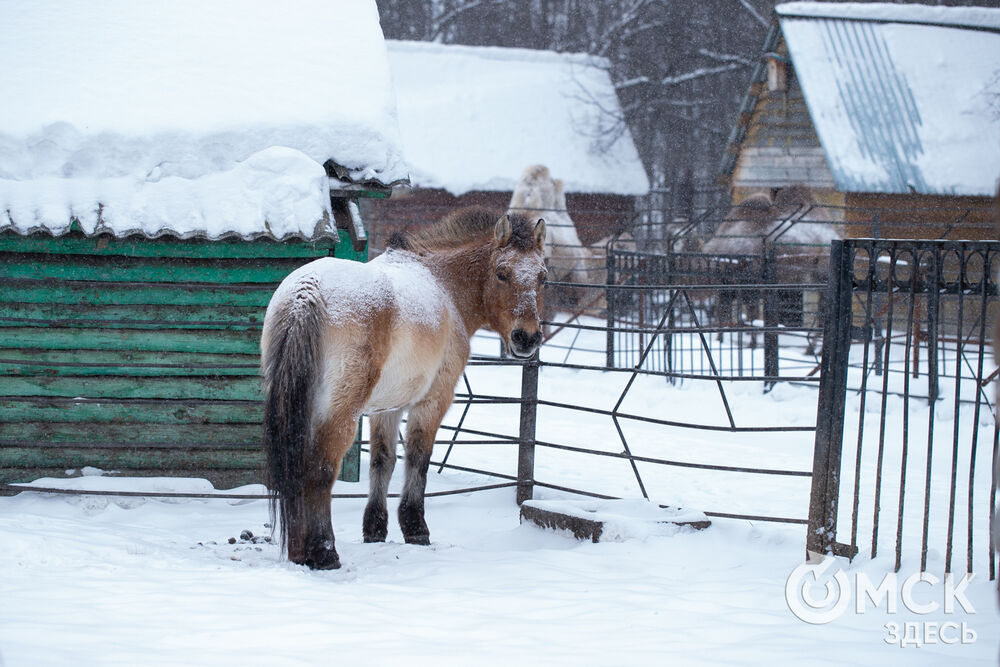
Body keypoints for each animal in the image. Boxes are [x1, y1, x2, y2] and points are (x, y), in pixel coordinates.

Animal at [260, 205, 548, 568]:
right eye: (502, 273)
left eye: (542, 277)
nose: (527, 338)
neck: (443, 283)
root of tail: (305, 293)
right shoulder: (433, 402)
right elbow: (417, 459)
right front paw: (415, 527)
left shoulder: (387, 408)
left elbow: (382, 462)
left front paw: (375, 529)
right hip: (339, 413)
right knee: (320, 469)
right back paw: (324, 552)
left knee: (297, 464)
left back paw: (300, 552)